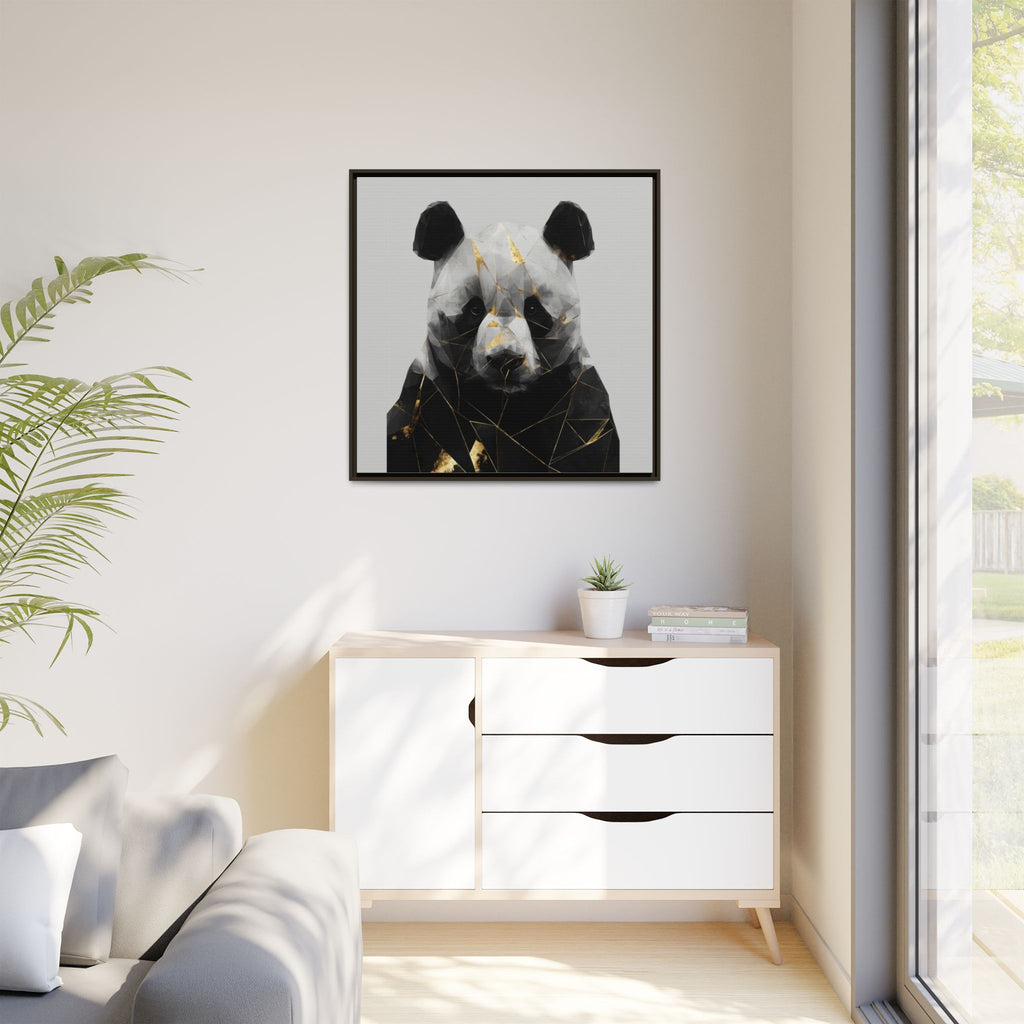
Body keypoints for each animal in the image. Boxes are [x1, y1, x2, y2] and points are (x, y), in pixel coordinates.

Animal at [386, 200, 620, 474]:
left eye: (533, 309)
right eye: (474, 309)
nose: (505, 360)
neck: (504, 408)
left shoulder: (581, 407)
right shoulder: (426, 402)